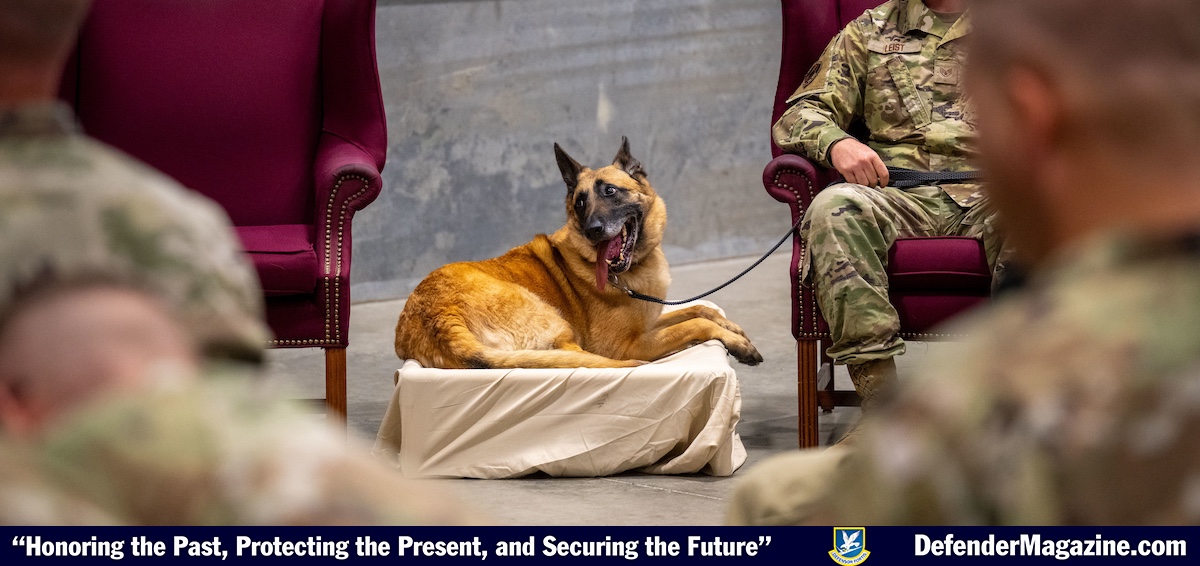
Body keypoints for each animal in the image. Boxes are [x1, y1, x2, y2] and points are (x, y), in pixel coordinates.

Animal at [394, 137, 762, 369]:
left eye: (610, 191)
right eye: (580, 203)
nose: (593, 230)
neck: (624, 273)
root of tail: (436, 319)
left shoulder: (650, 321)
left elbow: (699, 309)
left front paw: (732, 328)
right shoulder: (630, 344)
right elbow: (695, 323)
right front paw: (735, 342)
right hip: (559, 324)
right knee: (578, 358)